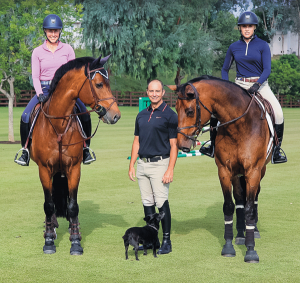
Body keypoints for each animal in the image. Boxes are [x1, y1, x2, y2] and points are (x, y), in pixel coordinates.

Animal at [29, 55, 120, 255]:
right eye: (99, 84)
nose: (116, 115)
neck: (58, 126)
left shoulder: (74, 168)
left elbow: (73, 206)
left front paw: (76, 241)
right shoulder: (44, 170)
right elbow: (48, 205)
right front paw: (48, 240)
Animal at [169, 76, 272, 264]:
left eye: (189, 111)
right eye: (176, 109)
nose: (181, 145)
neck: (239, 126)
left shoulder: (253, 171)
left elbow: (249, 208)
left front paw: (251, 250)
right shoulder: (224, 171)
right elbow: (229, 206)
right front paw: (229, 246)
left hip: (261, 170)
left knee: (253, 199)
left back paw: (253, 230)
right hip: (236, 174)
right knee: (240, 198)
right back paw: (240, 234)